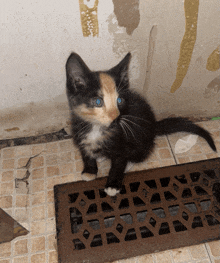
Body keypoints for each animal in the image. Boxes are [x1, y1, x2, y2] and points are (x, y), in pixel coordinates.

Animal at [65, 51, 217, 197]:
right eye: (98, 101)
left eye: (119, 100)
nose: (116, 119)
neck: (97, 128)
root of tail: (153, 125)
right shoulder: (79, 133)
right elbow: (86, 153)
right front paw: (90, 171)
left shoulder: (124, 140)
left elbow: (119, 163)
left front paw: (113, 184)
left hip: (141, 137)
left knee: (139, 154)